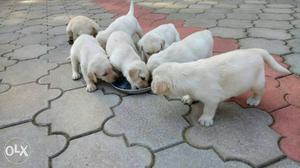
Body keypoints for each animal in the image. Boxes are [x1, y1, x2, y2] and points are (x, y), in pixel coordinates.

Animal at [151, 48, 290, 126]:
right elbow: (191, 94)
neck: (186, 74)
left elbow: (208, 109)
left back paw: (254, 100)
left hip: (257, 82)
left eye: (153, 79)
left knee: (260, 92)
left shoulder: (212, 98)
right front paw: (188, 98)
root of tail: (256, 51)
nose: (151, 87)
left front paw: (205, 120)